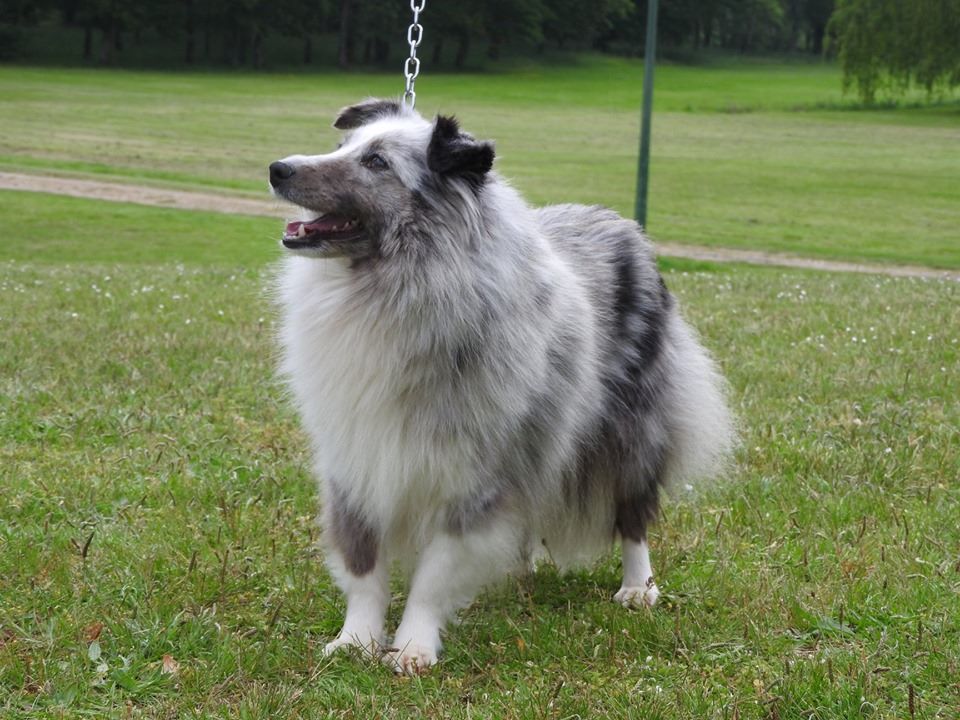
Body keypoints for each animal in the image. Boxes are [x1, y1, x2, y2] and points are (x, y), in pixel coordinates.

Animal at [269, 99, 733, 674]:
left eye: (376, 162)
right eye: (341, 147)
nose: (277, 169)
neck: (396, 287)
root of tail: (621, 222)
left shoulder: (472, 474)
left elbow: (434, 573)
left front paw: (413, 647)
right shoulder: (355, 460)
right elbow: (363, 567)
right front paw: (355, 641)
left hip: (630, 435)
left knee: (633, 514)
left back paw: (637, 587)